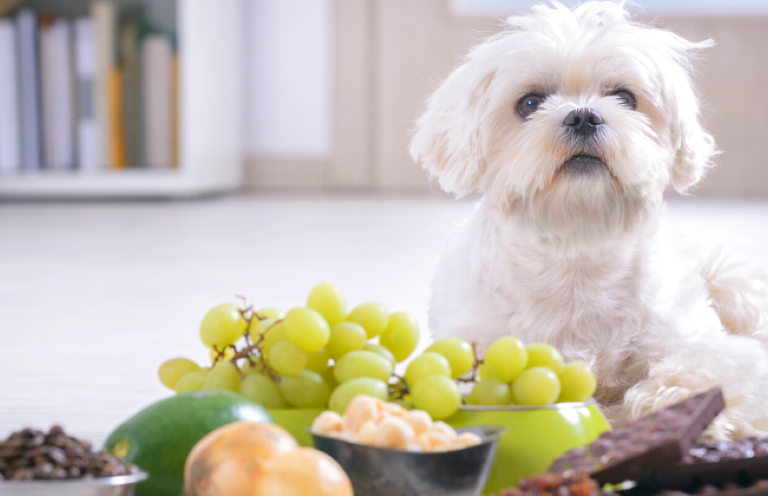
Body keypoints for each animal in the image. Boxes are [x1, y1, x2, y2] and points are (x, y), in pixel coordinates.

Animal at [412, 1, 768, 440]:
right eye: (529, 103)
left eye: (624, 97)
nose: (583, 116)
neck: (578, 251)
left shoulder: (703, 345)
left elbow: (701, 372)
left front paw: (675, 408)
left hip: (732, 286)